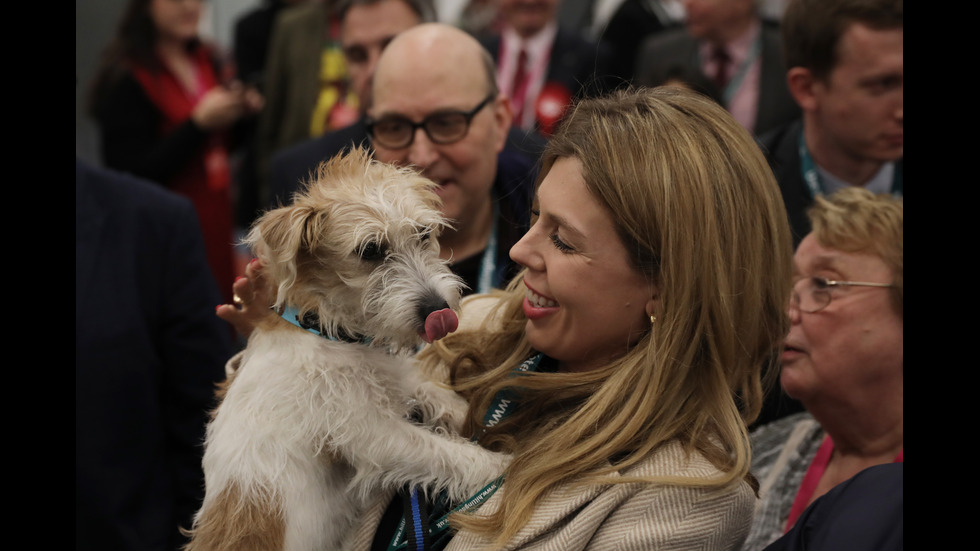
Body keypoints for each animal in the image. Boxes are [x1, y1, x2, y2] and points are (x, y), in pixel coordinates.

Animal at [184, 148, 510, 551]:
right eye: (370, 251)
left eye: (423, 234)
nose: (439, 310)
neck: (327, 332)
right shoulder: (372, 433)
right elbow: (445, 453)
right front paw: (504, 465)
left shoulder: (389, 378)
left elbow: (431, 390)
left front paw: (473, 410)